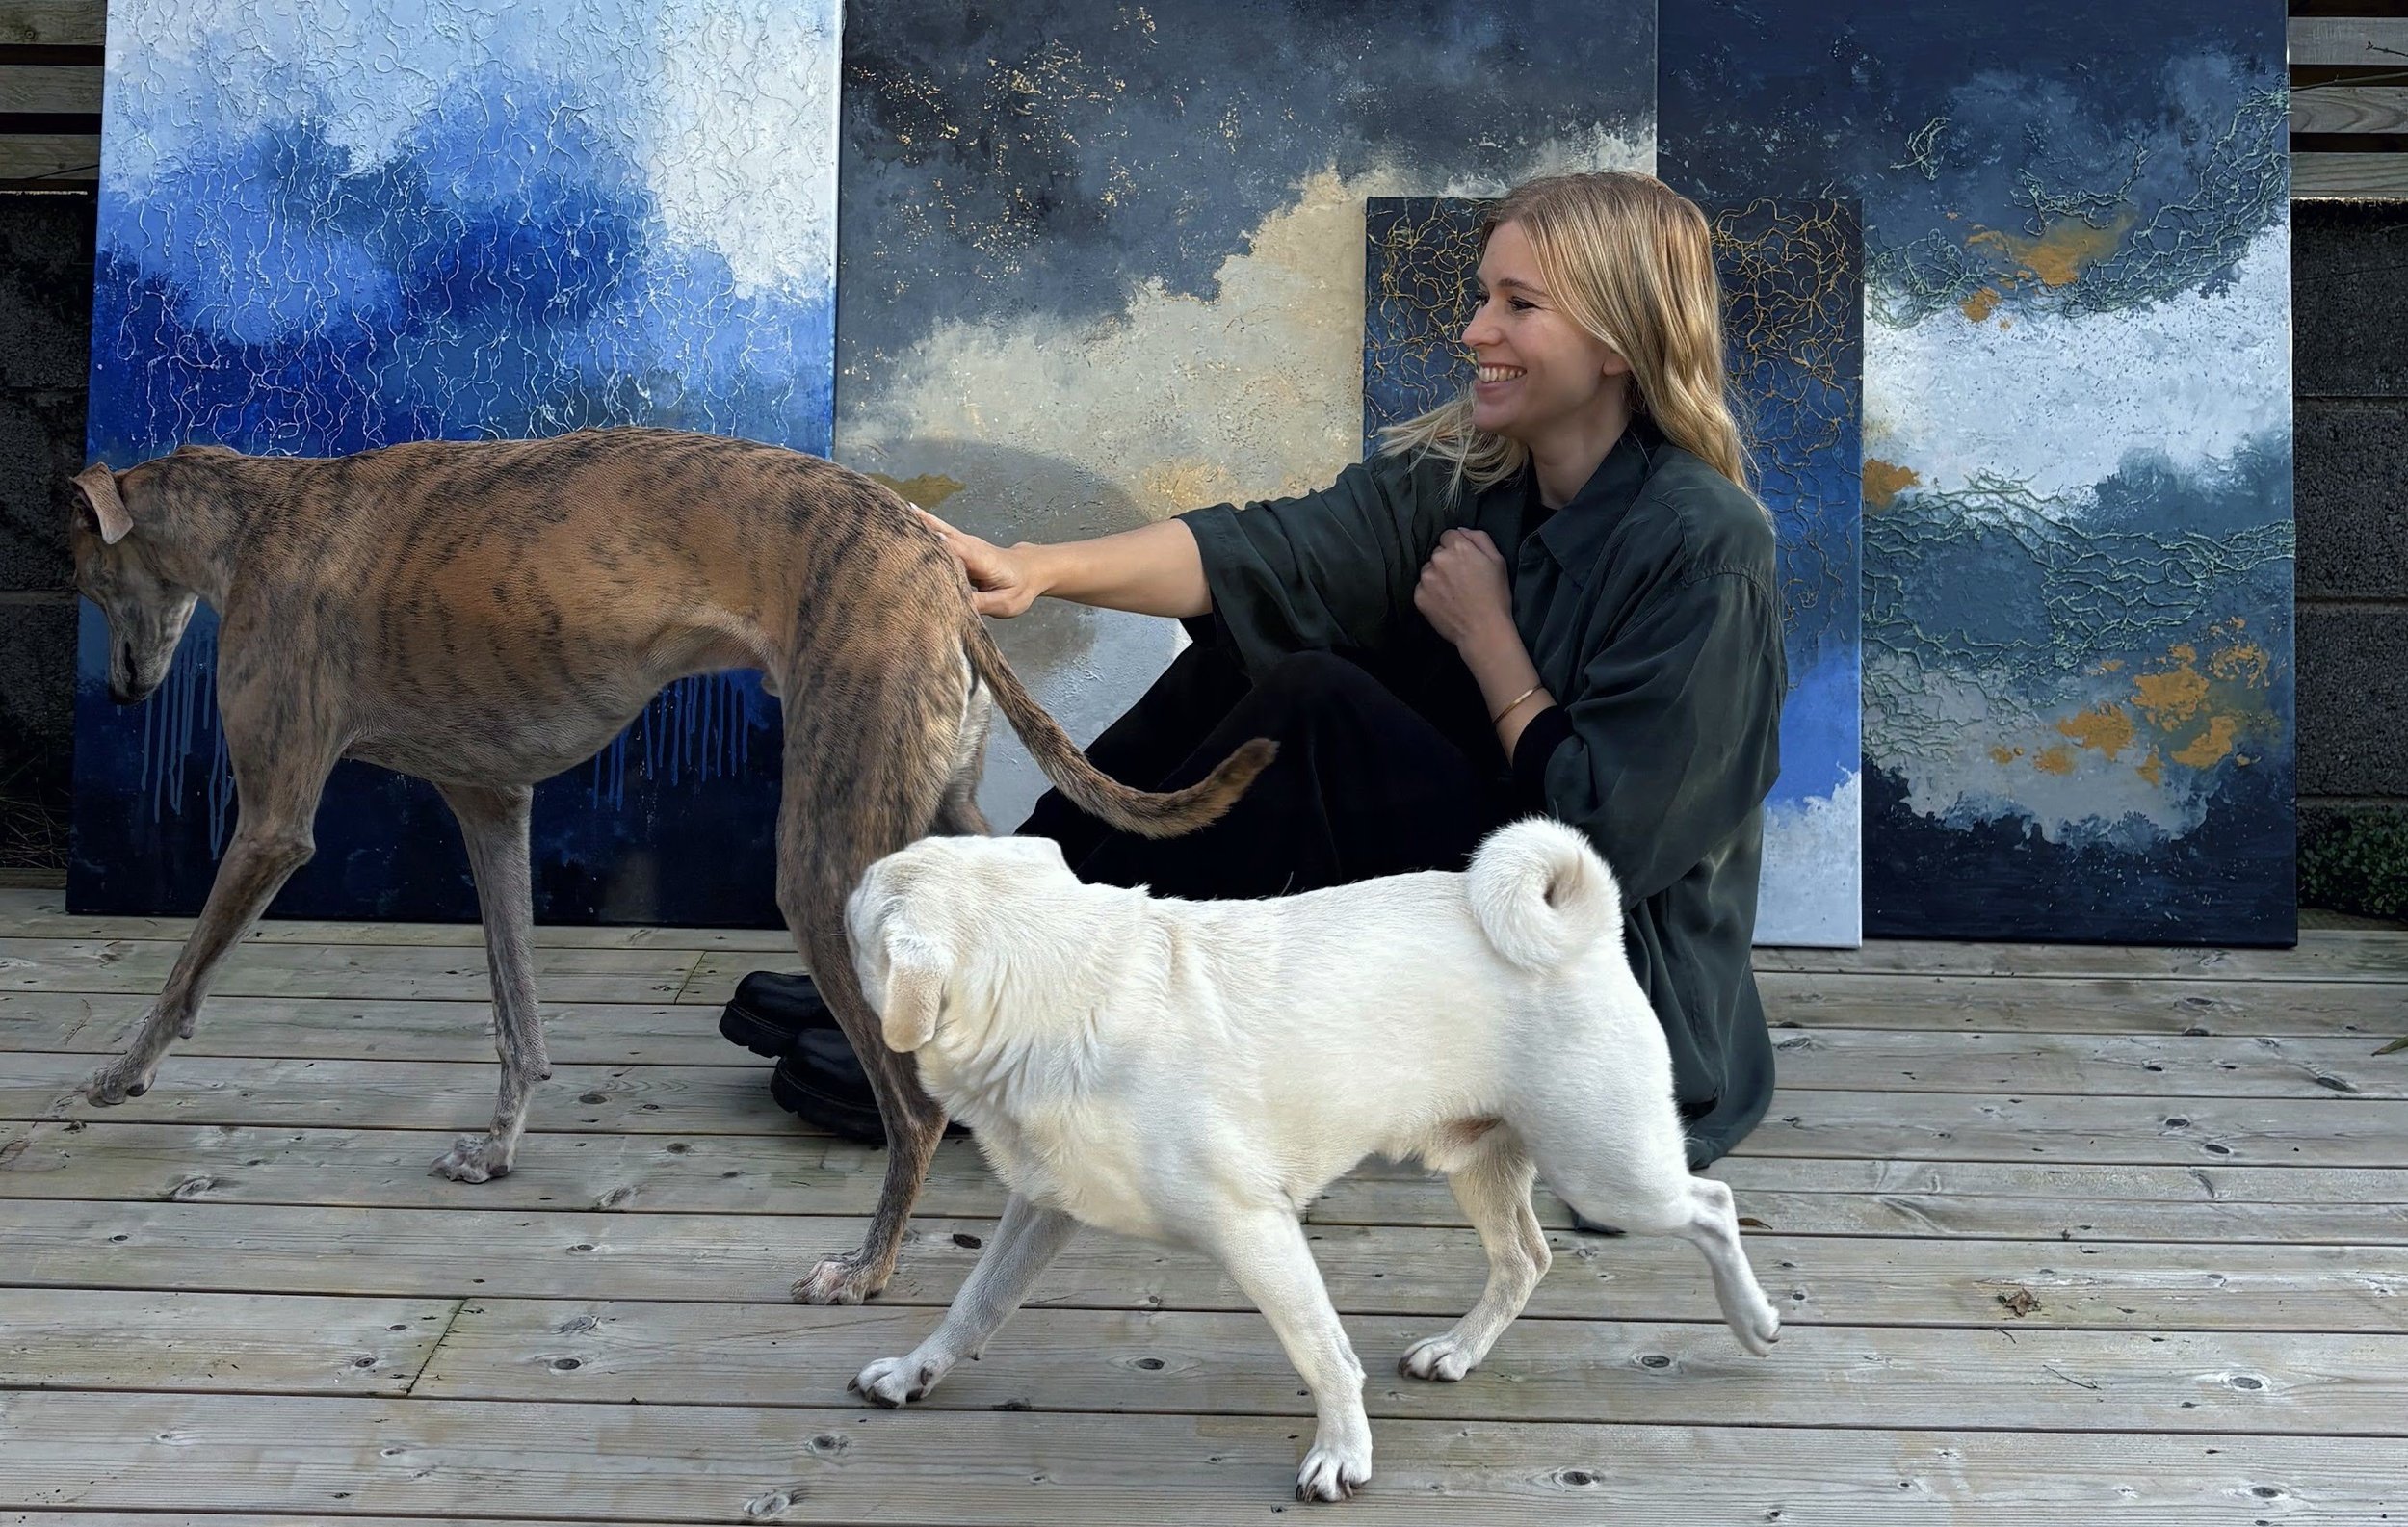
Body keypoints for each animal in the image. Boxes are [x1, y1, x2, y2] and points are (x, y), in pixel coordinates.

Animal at [64, 427, 1271, 1305]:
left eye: (83, 572)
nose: (122, 696)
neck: (257, 514)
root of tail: (940, 568)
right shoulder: (491, 804)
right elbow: (517, 1013)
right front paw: (494, 1150)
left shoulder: (276, 821)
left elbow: (182, 979)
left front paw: (114, 1076)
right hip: (940, 812)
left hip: (827, 863)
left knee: (917, 1108)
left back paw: (867, 1267)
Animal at [839, 817, 1782, 1501]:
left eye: (852, 917)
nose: (833, 897)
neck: (1067, 983)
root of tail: (1586, 926)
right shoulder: (1043, 1209)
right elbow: (976, 1302)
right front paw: (918, 1370)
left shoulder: (1257, 1232)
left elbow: (1321, 1351)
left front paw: (1343, 1451)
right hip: (1482, 1163)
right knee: (1526, 1257)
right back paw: (1460, 1349)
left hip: (1609, 1170)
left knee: (1711, 1204)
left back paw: (1752, 1318)